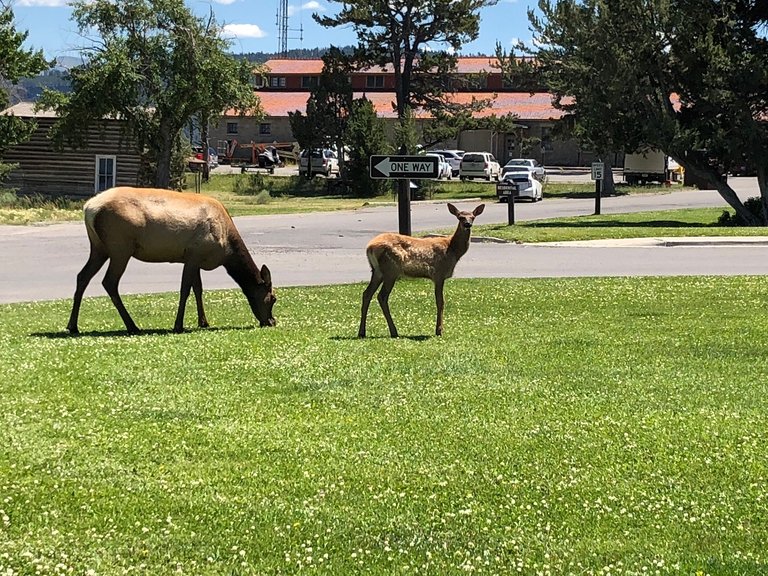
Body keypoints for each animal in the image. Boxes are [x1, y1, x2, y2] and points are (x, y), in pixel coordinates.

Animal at [66, 187, 276, 336]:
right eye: (273, 298)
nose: (272, 322)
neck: (227, 248)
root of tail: (89, 209)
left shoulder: (193, 258)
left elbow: (198, 289)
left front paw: (203, 322)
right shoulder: (194, 255)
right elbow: (185, 290)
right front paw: (178, 325)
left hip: (99, 247)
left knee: (82, 276)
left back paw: (72, 326)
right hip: (120, 247)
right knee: (109, 281)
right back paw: (132, 326)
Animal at [356, 202, 484, 338]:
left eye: (473, 217)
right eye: (460, 217)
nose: (467, 224)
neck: (453, 250)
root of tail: (369, 248)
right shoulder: (439, 273)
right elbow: (440, 301)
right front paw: (439, 330)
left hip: (377, 271)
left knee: (367, 293)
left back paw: (362, 332)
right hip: (390, 269)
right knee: (382, 296)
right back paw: (393, 331)